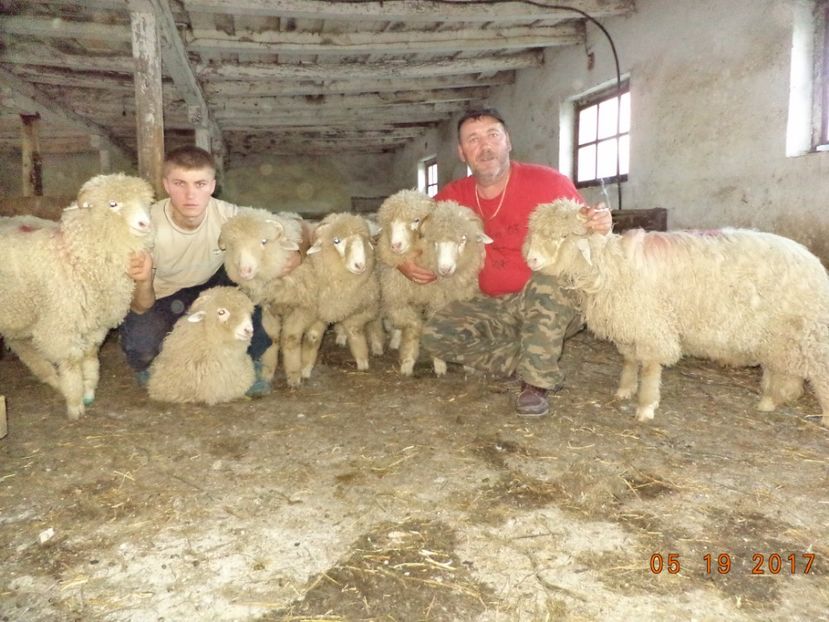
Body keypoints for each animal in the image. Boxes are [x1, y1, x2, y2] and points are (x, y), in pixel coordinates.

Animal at [0, 173, 154, 419]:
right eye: (113, 204)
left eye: (146, 202)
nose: (145, 223)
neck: (76, 254)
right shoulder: (60, 324)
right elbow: (72, 361)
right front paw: (75, 402)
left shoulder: (95, 322)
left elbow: (90, 355)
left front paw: (88, 389)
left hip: (19, 311)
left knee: (21, 345)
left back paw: (51, 378)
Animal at [379, 199, 492, 376]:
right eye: (435, 242)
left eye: (463, 240)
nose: (445, 269)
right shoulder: (399, 301)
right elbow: (413, 329)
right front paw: (408, 362)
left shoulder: (438, 302)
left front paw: (440, 364)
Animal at [523, 198, 829, 425]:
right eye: (534, 233)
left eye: (564, 236)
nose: (532, 260)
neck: (612, 266)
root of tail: (812, 261)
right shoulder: (629, 325)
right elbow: (629, 360)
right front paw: (624, 390)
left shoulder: (650, 325)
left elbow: (648, 367)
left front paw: (645, 406)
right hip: (780, 335)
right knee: (782, 369)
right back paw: (770, 401)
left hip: (808, 334)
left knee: (818, 372)